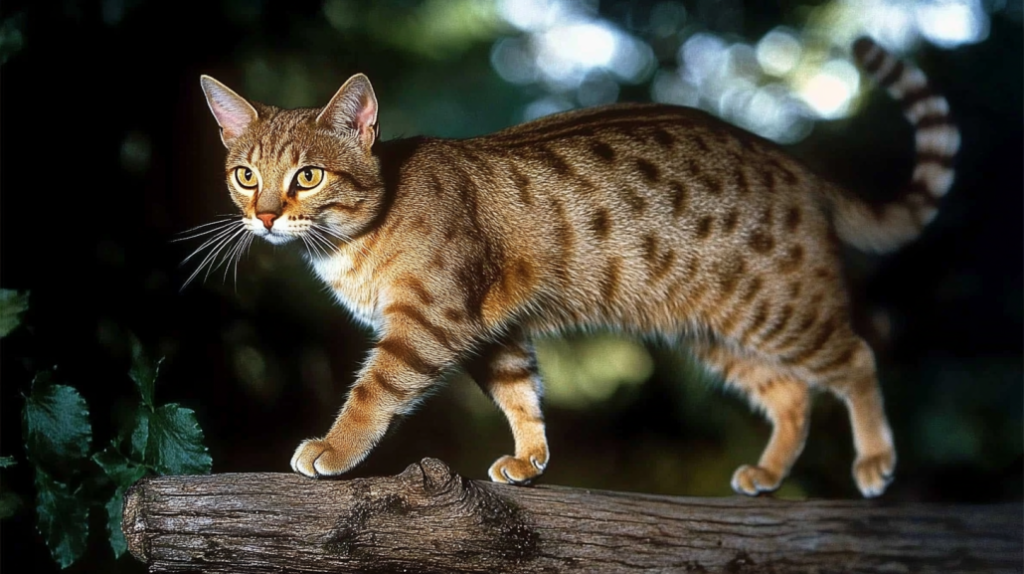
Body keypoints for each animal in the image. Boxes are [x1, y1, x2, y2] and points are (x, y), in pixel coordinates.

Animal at [199, 36, 958, 497]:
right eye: (244, 175)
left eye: (308, 177)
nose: (265, 216)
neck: (354, 238)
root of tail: (794, 162)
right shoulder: (493, 331)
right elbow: (521, 394)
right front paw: (530, 458)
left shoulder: (430, 322)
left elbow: (373, 392)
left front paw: (334, 447)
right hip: (716, 333)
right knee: (792, 395)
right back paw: (768, 472)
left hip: (778, 310)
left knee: (855, 358)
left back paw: (874, 459)